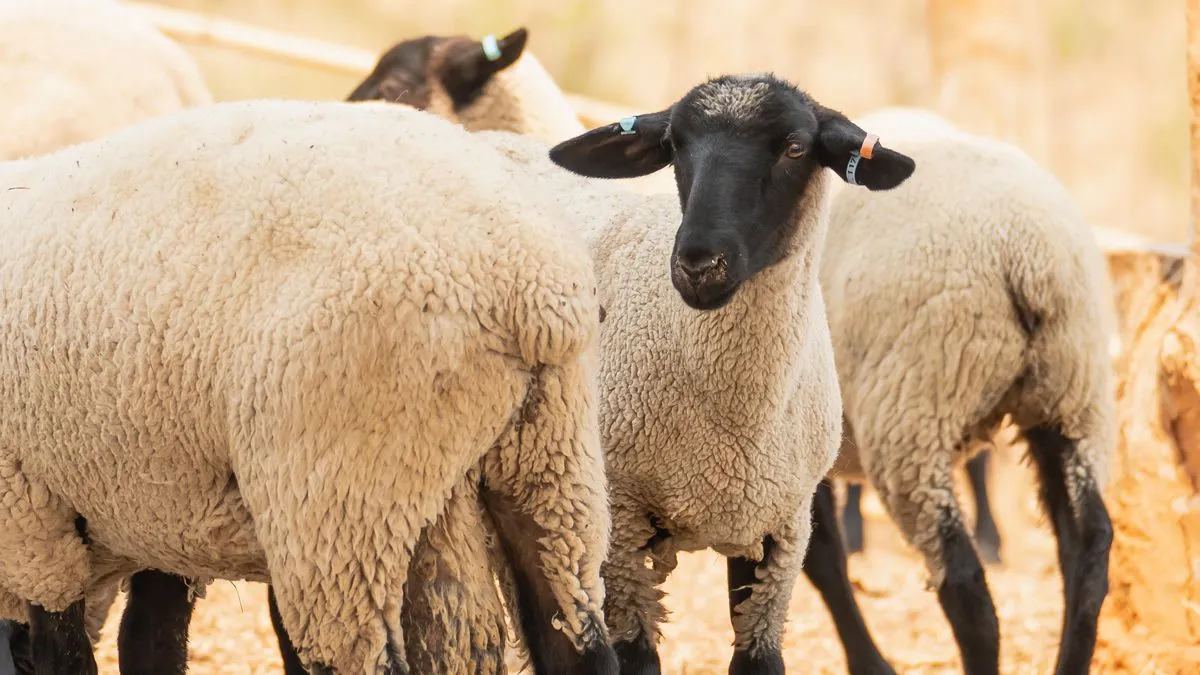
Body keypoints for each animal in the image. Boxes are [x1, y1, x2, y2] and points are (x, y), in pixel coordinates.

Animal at [0, 97, 619, 667]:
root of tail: (529, 289)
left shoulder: (30, 521)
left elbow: (65, 653)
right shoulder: (164, 509)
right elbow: (149, 641)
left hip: (335, 500)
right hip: (550, 461)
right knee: (575, 634)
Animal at [811, 106, 1118, 672]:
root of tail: (1025, 252)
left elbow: (820, 558)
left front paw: (869, 662)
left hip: (915, 409)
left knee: (965, 585)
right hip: (1072, 396)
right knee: (1086, 551)